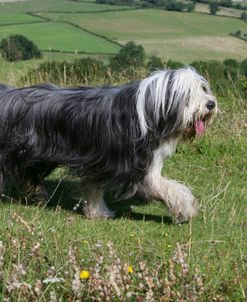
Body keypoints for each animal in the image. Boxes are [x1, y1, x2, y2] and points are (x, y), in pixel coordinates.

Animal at [0, 69, 216, 224]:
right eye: (188, 93)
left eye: (203, 88)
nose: (211, 104)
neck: (148, 111)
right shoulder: (132, 166)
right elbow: (166, 187)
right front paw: (186, 208)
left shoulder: (100, 162)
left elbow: (94, 187)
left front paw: (96, 212)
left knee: (28, 175)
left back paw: (38, 193)